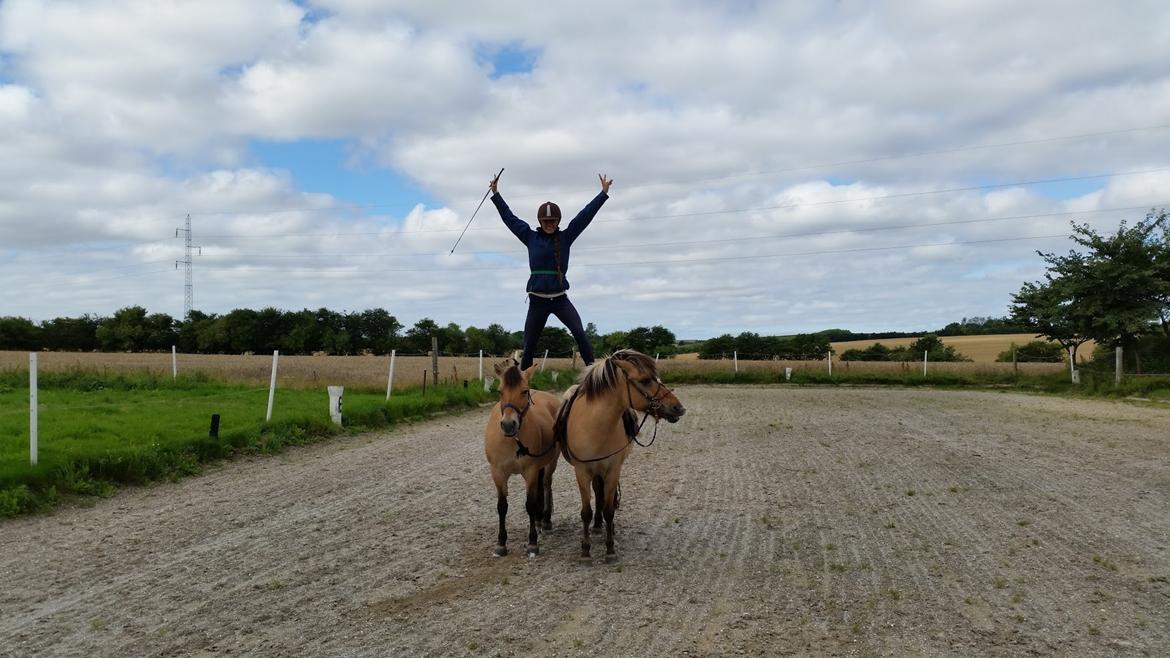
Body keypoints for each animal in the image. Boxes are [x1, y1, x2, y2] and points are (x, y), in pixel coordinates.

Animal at [482, 358, 559, 552]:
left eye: (524, 391)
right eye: (500, 391)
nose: (509, 425)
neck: (513, 441)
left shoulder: (531, 471)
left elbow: (530, 504)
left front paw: (532, 542)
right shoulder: (498, 473)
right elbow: (502, 506)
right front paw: (501, 543)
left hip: (550, 463)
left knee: (546, 485)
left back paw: (545, 519)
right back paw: (539, 520)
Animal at [556, 348, 683, 557]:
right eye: (645, 380)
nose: (679, 408)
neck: (594, 425)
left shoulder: (613, 470)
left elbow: (609, 509)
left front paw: (610, 548)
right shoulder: (582, 472)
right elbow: (585, 512)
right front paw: (585, 549)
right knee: (598, 492)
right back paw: (596, 525)